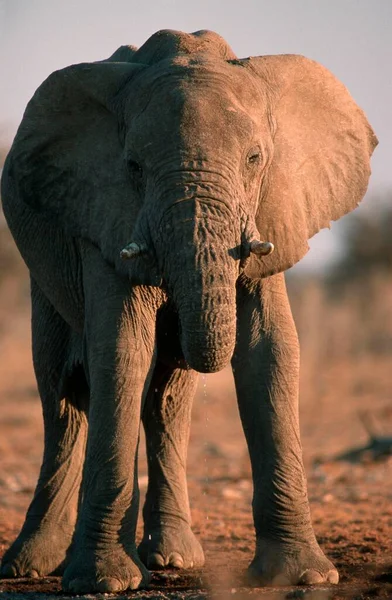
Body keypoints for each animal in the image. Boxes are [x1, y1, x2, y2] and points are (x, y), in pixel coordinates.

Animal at [0, 28, 376, 592]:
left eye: (255, 159)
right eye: (133, 167)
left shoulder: (274, 210)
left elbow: (269, 350)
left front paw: (304, 576)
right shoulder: (103, 212)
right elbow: (122, 349)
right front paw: (103, 582)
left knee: (167, 400)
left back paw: (172, 560)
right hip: (42, 269)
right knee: (63, 398)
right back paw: (33, 566)